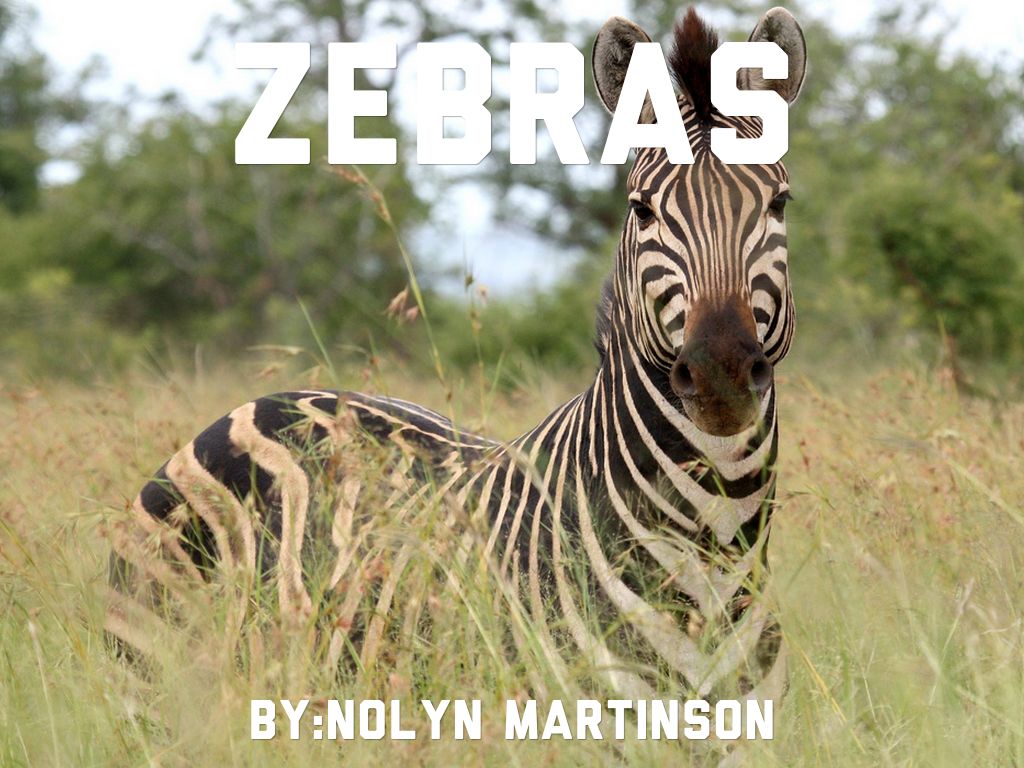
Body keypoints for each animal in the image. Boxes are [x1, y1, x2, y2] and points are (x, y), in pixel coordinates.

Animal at [106, 5, 806, 712]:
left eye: (780, 203)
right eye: (642, 210)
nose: (719, 372)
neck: (714, 541)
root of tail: (262, 402)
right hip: (152, 682)